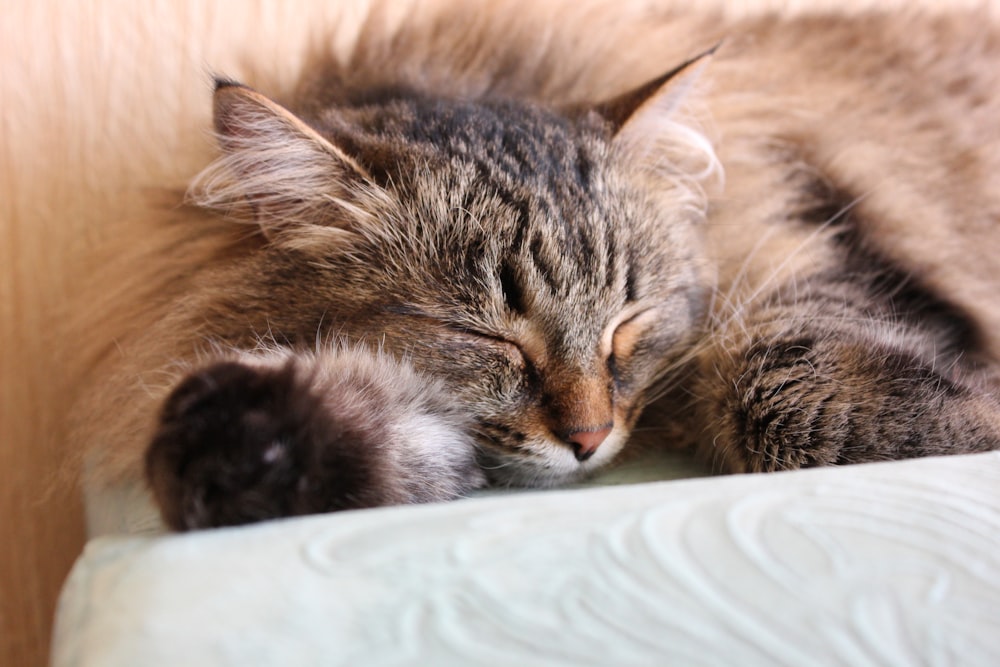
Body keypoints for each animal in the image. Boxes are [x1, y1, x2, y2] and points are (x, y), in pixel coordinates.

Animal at [70, 2, 1000, 528]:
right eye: (489, 340)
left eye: (628, 322)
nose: (589, 439)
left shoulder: (806, 259)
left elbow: (786, 391)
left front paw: (979, 415)